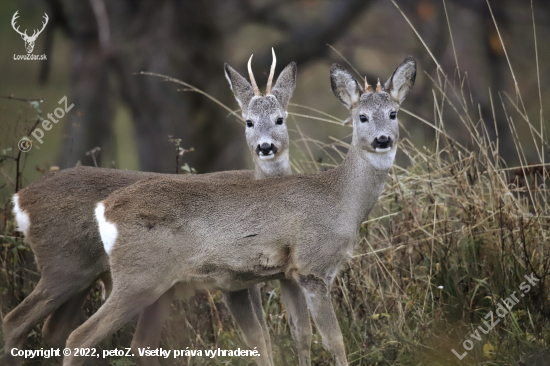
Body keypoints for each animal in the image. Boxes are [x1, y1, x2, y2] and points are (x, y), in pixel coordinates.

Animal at [4, 50, 302, 366]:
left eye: (280, 119)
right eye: (248, 122)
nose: (265, 147)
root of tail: (20, 198)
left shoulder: (251, 280)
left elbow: (264, 336)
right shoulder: (231, 278)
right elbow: (256, 337)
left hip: (86, 279)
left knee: (55, 331)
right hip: (67, 266)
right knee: (21, 322)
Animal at [62, 55, 416, 364]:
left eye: (394, 113)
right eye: (362, 117)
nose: (382, 140)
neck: (339, 200)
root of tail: (105, 209)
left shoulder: (288, 273)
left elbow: (301, 335)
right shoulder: (313, 267)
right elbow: (335, 341)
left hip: (156, 286)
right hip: (138, 277)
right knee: (79, 337)